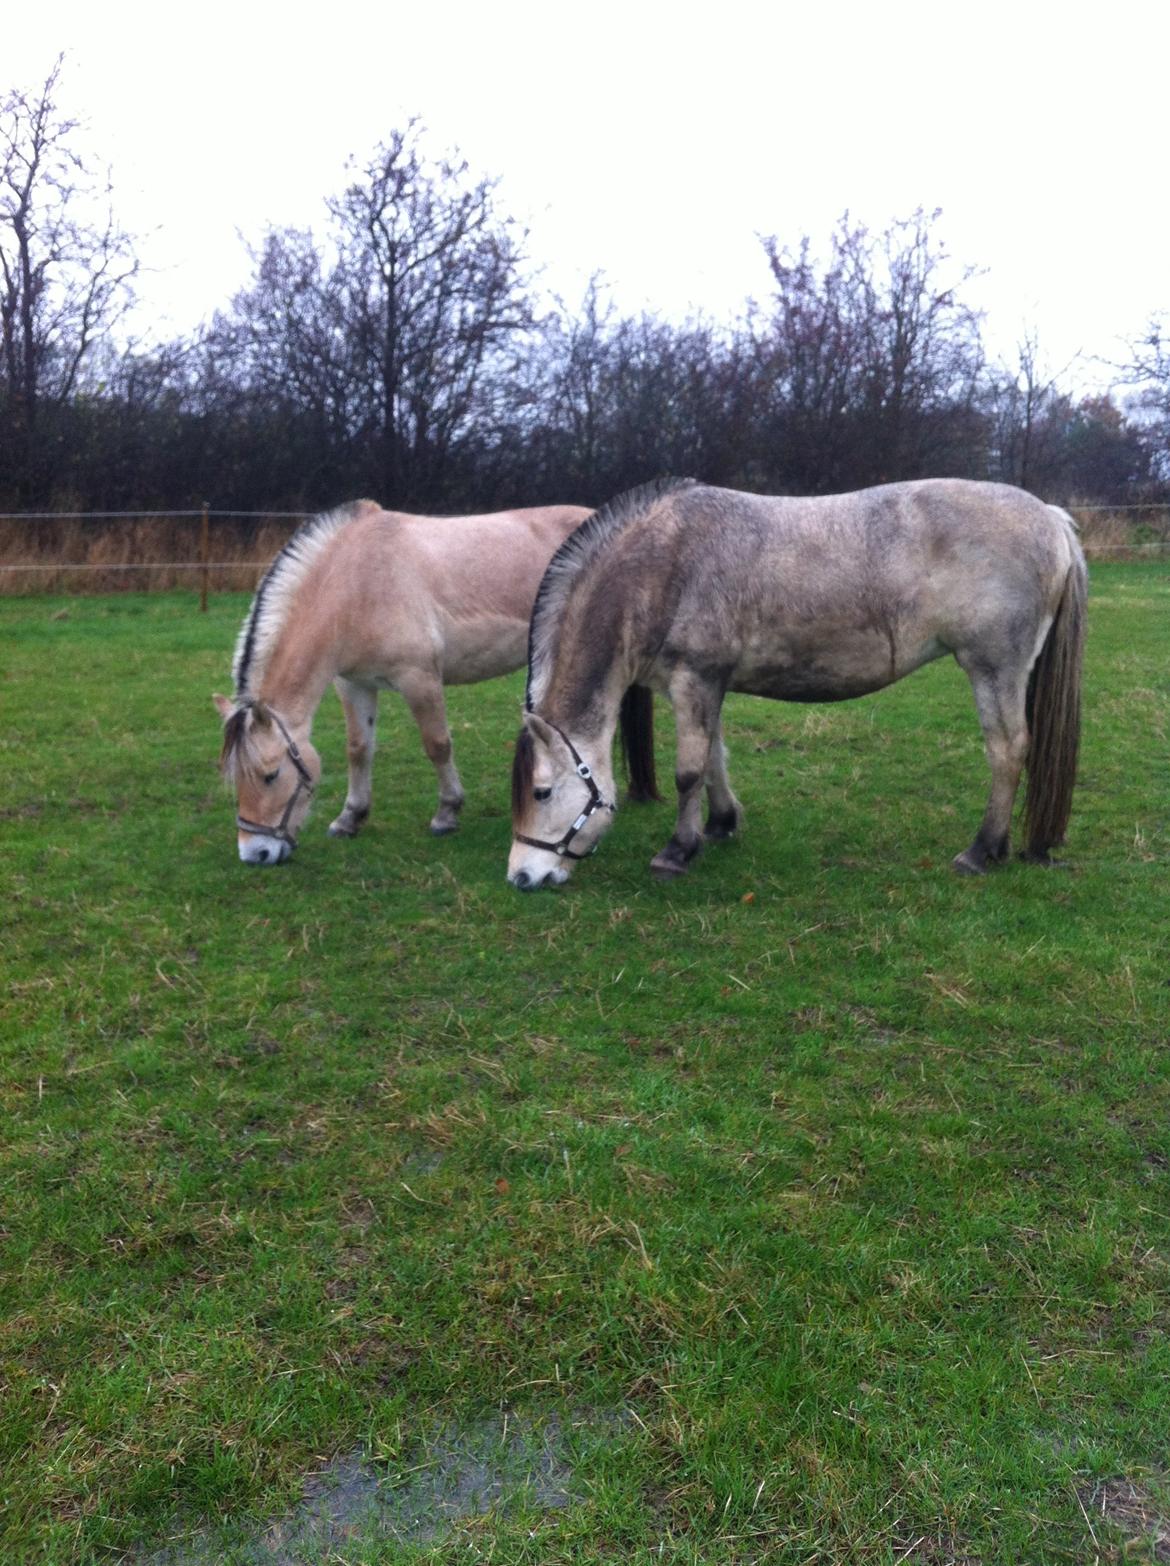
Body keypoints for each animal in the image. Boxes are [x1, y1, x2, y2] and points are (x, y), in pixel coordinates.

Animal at [214, 497, 588, 864]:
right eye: (233, 775)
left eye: (270, 775)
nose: (255, 853)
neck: (355, 586)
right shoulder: (353, 684)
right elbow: (358, 748)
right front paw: (350, 818)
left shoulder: (419, 679)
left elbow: (437, 744)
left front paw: (447, 813)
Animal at [510, 476, 1090, 889]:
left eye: (541, 792)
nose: (521, 877)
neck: (662, 564)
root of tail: (1051, 517)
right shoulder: (707, 686)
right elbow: (714, 758)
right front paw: (720, 825)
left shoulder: (694, 679)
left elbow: (688, 771)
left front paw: (676, 852)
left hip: (993, 668)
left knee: (1007, 750)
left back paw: (981, 850)